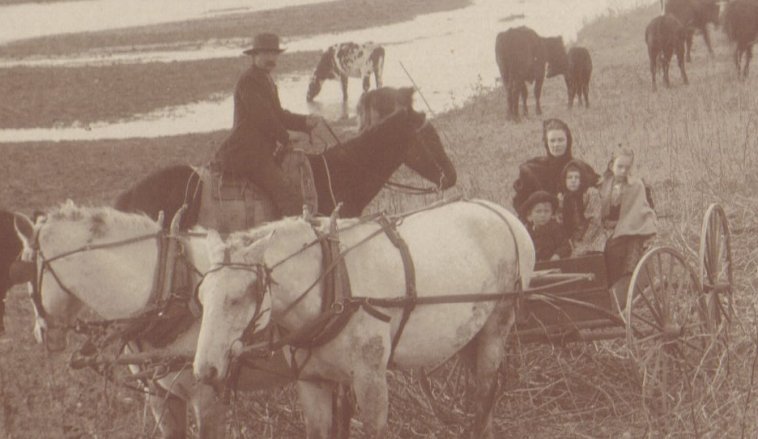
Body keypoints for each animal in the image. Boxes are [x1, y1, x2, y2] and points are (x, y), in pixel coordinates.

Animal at [193, 200, 536, 439]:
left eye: (238, 297)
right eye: (202, 296)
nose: (204, 371)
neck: (332, 284)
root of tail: (503, 214)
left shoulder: (371, 380)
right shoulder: (312, 382)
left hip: (497, 325)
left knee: (483, 396)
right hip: (469, 335)